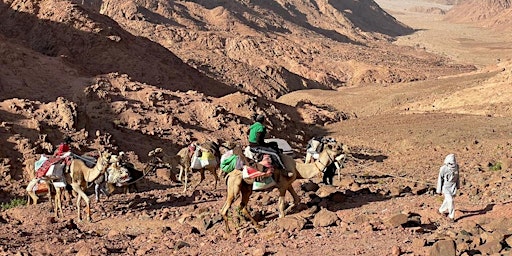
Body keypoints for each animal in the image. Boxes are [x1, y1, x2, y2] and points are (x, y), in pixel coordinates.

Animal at [220, 142, 348, 232]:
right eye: (336, 147)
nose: (344, 150)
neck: (297, 168)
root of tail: (229, 175)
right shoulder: (282, 185)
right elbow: (281, 205)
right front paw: (282, 217)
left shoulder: (288, 184)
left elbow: (297, 199)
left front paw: (287, 211)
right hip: (234, 186)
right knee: (225, 208)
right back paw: (229, 231)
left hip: (246, 187)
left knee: (242, 206)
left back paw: (256, 225)